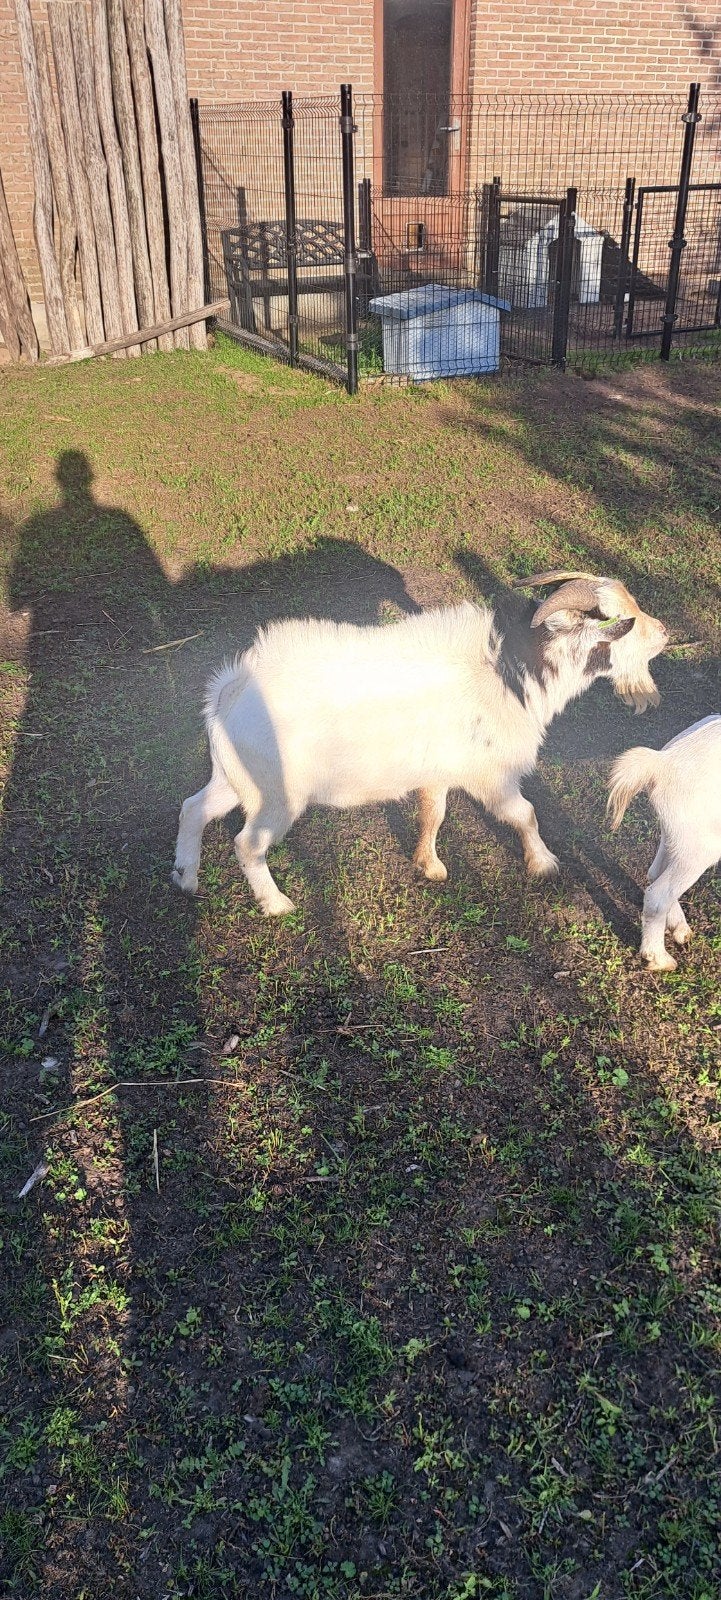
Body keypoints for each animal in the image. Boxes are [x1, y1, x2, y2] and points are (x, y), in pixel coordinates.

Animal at [173, 571, 668, 915]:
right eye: (621, 621)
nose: (664, 632)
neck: (507, 672)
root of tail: (230, 689)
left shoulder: (439, 770)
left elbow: (434, 813)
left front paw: (429, 866)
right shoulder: (490, 774)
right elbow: (523, 813)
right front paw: (544, 863)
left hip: (235, 777)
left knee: (193, 807)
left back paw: (185, 878)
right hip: (277, 793)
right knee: (247, 843)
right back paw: (277, 904)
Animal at [608, 714, 721, 971]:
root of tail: (664, 763)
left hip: (676, 834)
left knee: (655, 872)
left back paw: (679, 928)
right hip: (702, 846)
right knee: (657, 894)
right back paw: (658, 958)